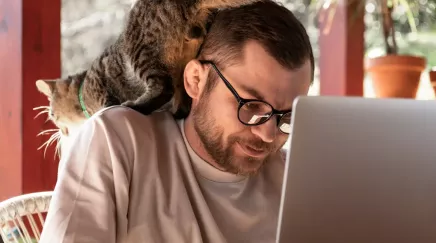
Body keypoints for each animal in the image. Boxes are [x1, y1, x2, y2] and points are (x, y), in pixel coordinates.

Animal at [35, 0, 260, 139]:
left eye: (52, 115)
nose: (59, 132)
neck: (84, 86)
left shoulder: (104, 91)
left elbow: (108, 102)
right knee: (182, 97)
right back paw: (176, 112)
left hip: (142, 53)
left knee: (163, 88)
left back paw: (136, 106)